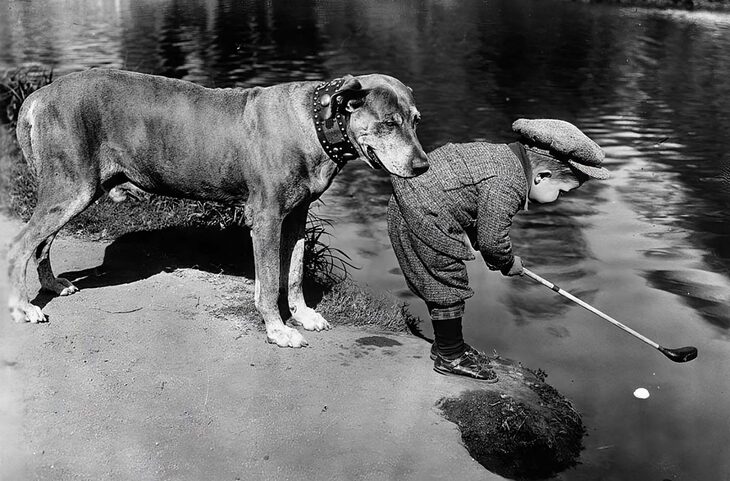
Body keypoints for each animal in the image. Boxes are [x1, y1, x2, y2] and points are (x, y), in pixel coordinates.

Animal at [7, 68, 426, 344]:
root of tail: (40, 94)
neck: (314, 122)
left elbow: (293, 274)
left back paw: (52, 284)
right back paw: (24, 308)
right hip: (71, 188)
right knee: (20, 246)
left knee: (41, 244)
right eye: (388, 123)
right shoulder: (266, 219)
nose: (422, 165)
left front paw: (304, 316)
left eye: (416, 120)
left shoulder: (295, 217)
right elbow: (269, 281)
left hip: (75, 190)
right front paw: (278, 330)